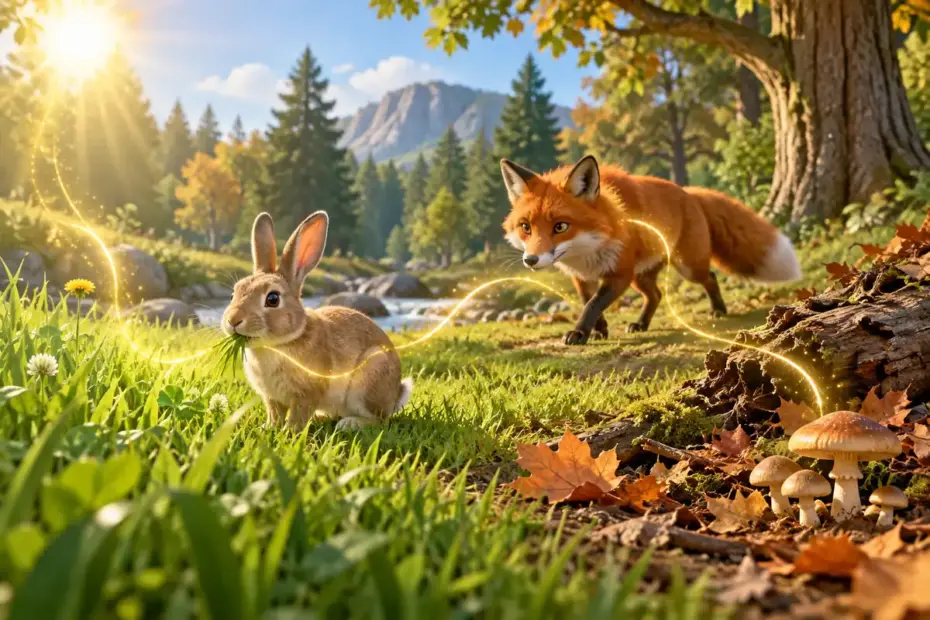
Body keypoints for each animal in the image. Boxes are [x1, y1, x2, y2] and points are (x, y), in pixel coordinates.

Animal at [222, 211, 414, 431]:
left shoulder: (307, 394)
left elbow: (298, 415)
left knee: (380, 420)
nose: (233, 320)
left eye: (273, 299)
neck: (277, 345)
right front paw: (268, 428)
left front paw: (289, 432)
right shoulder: (271, 398)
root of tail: (396, 394)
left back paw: (349, 424)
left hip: (370, 377)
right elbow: (274, 413)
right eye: (233, 293)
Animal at [500, 155, 802, 345]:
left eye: (560, 226)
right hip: (641, 275)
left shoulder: (619, 274)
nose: (531, 260)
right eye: (526, 227)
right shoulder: (581, 277)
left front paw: (579, 333)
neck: (586, 253)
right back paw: (641, 324)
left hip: (686, 267)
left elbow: (592, 304)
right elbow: (589, 302)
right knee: (656, 295)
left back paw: (718, 309)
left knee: (710, 278)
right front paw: (599, 330)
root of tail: (689, 192)